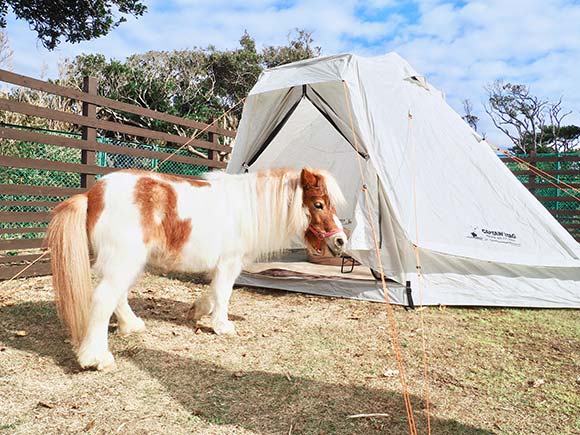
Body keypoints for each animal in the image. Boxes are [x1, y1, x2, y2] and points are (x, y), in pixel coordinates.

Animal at [47, 167, 346, 372]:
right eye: (318, 204)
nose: (341, 241)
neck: (247, 209)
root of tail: (92, 194)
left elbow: (212, 294)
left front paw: (198, 311)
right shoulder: (229, 263)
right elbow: (223, 294)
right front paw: (223, 326)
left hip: (128, 262)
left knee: (116, 297)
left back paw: (131, 326)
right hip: (124, 259)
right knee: (103, 299)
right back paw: (96, 358)